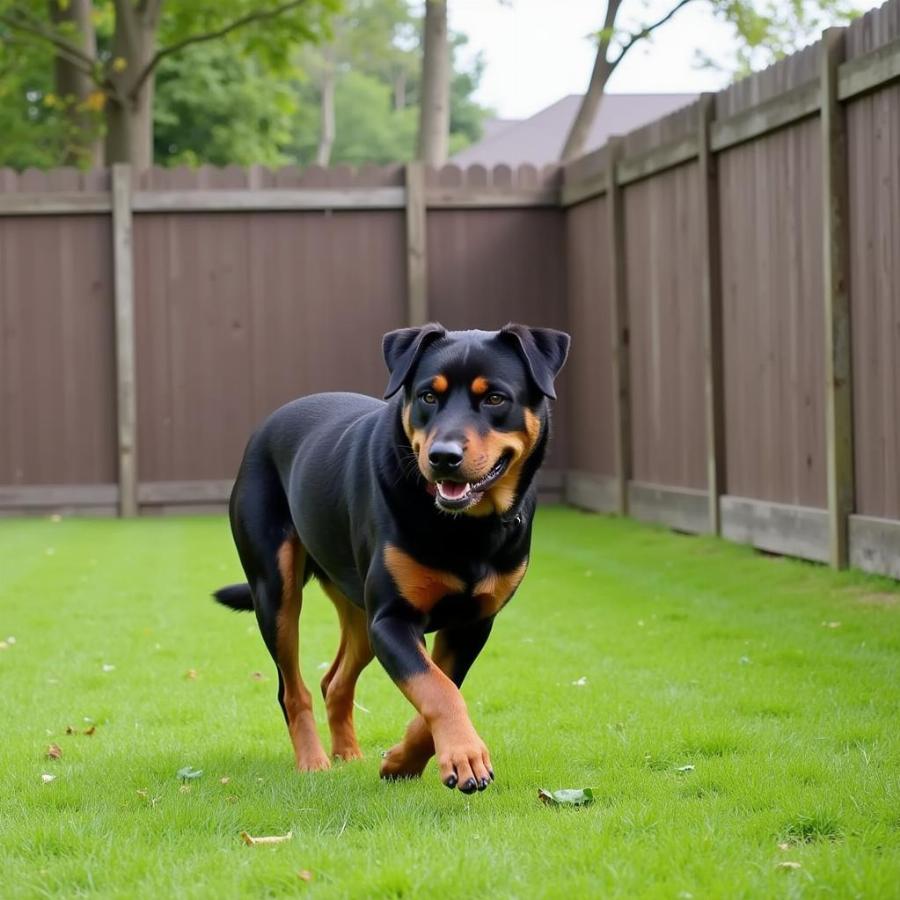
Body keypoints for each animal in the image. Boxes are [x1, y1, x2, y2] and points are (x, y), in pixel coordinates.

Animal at [213, 324, 568, 796]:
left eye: (495, 398)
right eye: (428, 396)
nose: (443, 457)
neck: (464, 528)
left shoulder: (471, 624)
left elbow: (442, 686)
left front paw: (403, 762)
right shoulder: (392, 618)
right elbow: (437, 689)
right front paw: (464, 756)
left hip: (359, 613)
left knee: (335, 682)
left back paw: (348, 755)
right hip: (277, 593)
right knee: (293, 690)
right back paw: (314, 762)